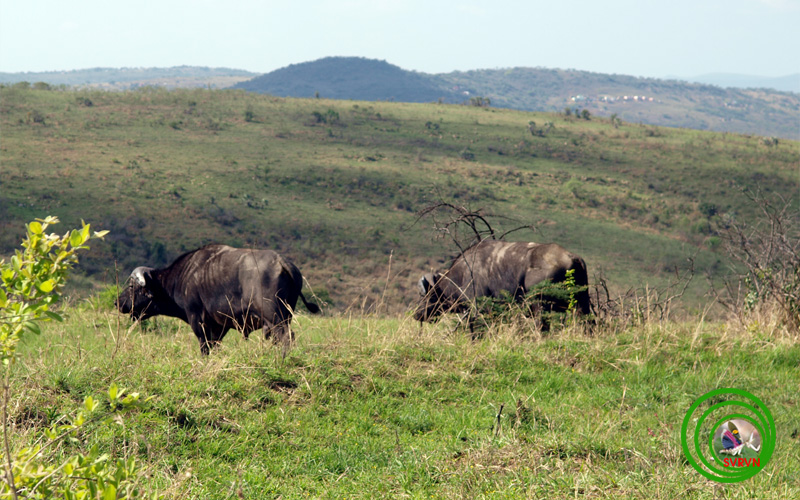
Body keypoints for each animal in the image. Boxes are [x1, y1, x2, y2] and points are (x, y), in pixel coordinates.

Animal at [115, 244, 318, 354]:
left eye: (132, 286)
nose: (118, 302)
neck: (179, 278)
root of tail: (282, 262)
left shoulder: (198, 320)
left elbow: (205, 347)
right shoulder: (220, 326)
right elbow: (215, 346)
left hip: (274, 317)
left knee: (286, 337)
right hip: (284, 316)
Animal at [416, 240, 592, 326]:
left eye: (429, 296)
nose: (417, 314)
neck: (463, 274)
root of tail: (571, 256)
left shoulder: (480, 310)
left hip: (539, 305)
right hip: (582, 305)